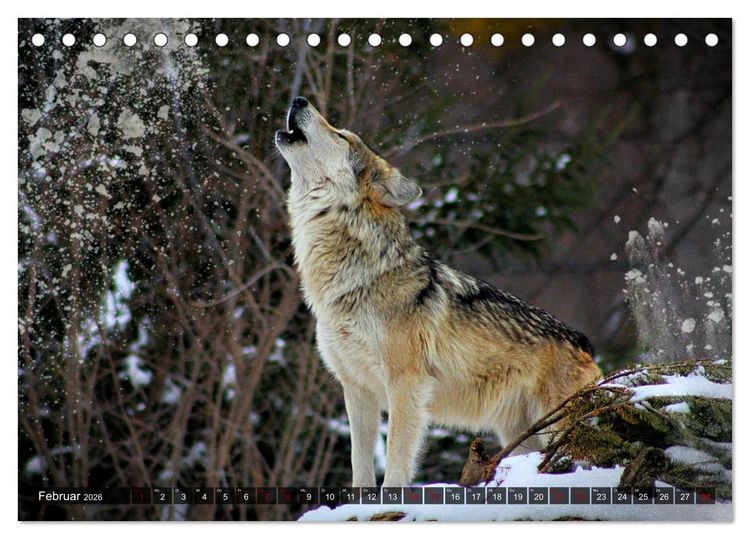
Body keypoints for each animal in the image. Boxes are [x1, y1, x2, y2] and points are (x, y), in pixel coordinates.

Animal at [276, 97, 601, 488]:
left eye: (341, 134)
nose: (299, 99)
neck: (355, 278)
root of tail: (584, 343)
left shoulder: (406, 385)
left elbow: (396, 461)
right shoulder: (357, 389)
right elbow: (360, 465)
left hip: (555, 429)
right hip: (519, 436)